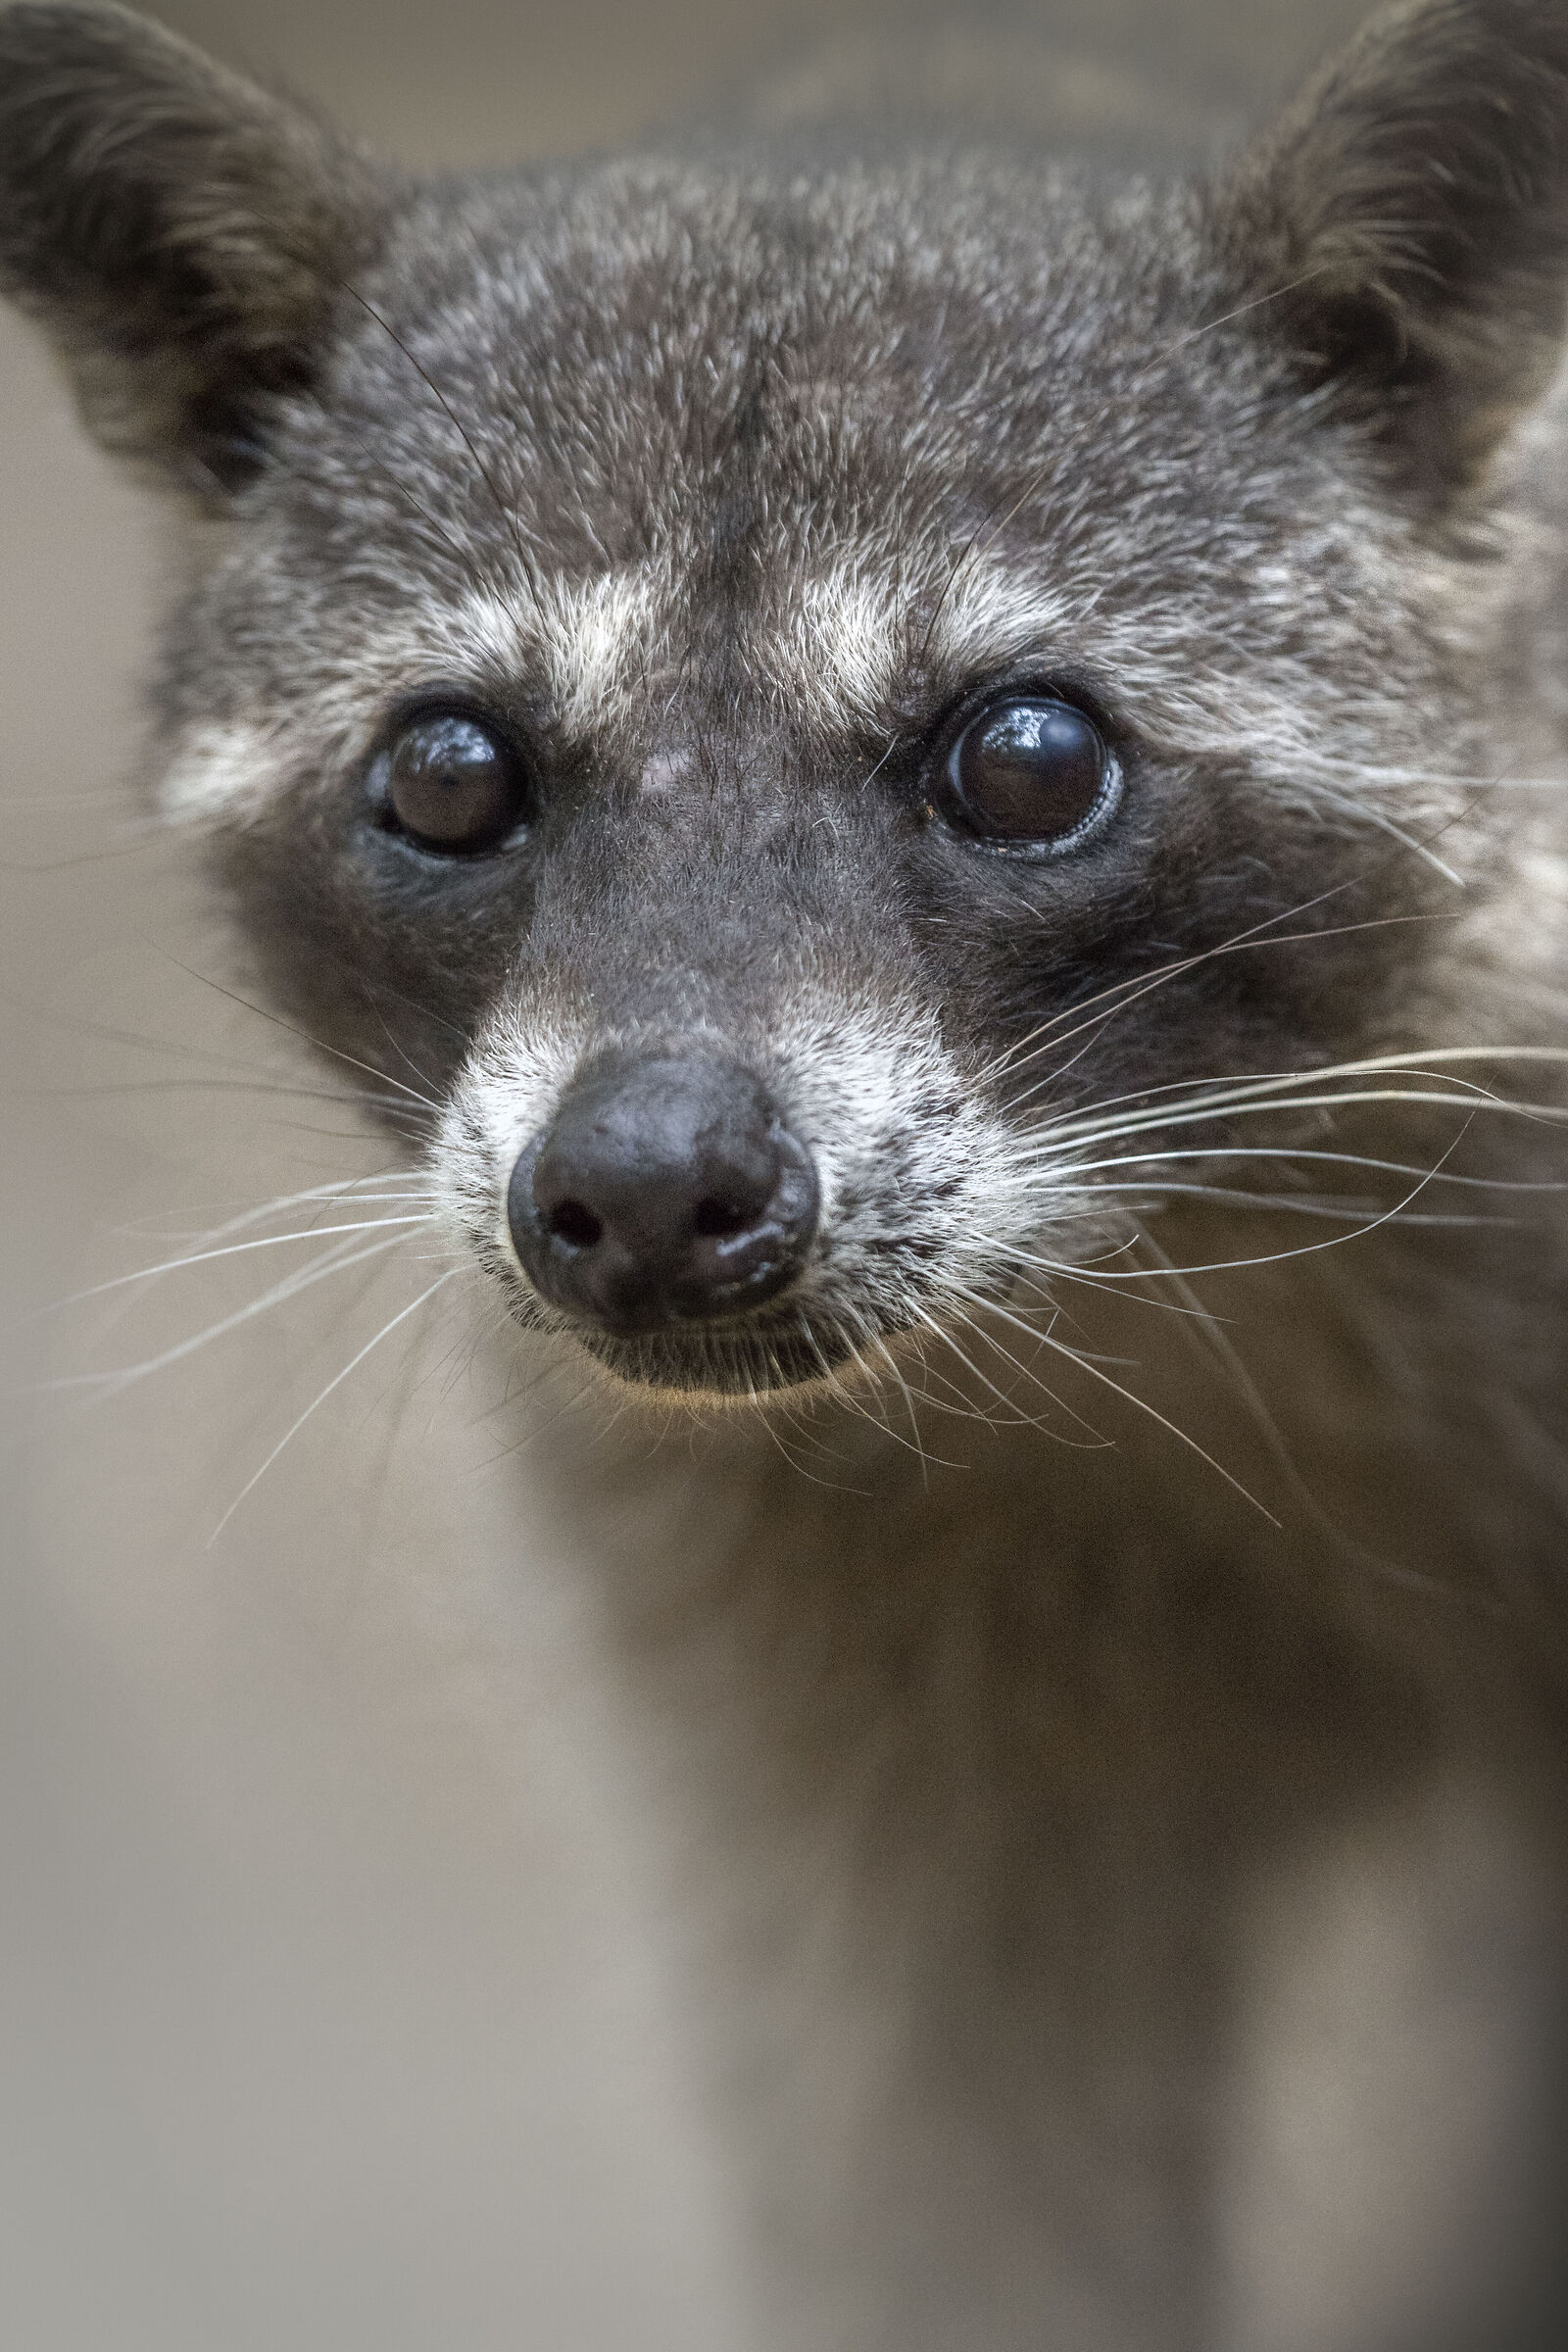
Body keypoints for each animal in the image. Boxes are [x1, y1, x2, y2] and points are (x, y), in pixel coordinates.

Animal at [4, 1, 1568, 2344]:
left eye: (1026, 759)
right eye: (448, 773)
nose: (650, 1188)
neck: (1145, 1262)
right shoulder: (798, 1629)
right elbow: (931, 2130)